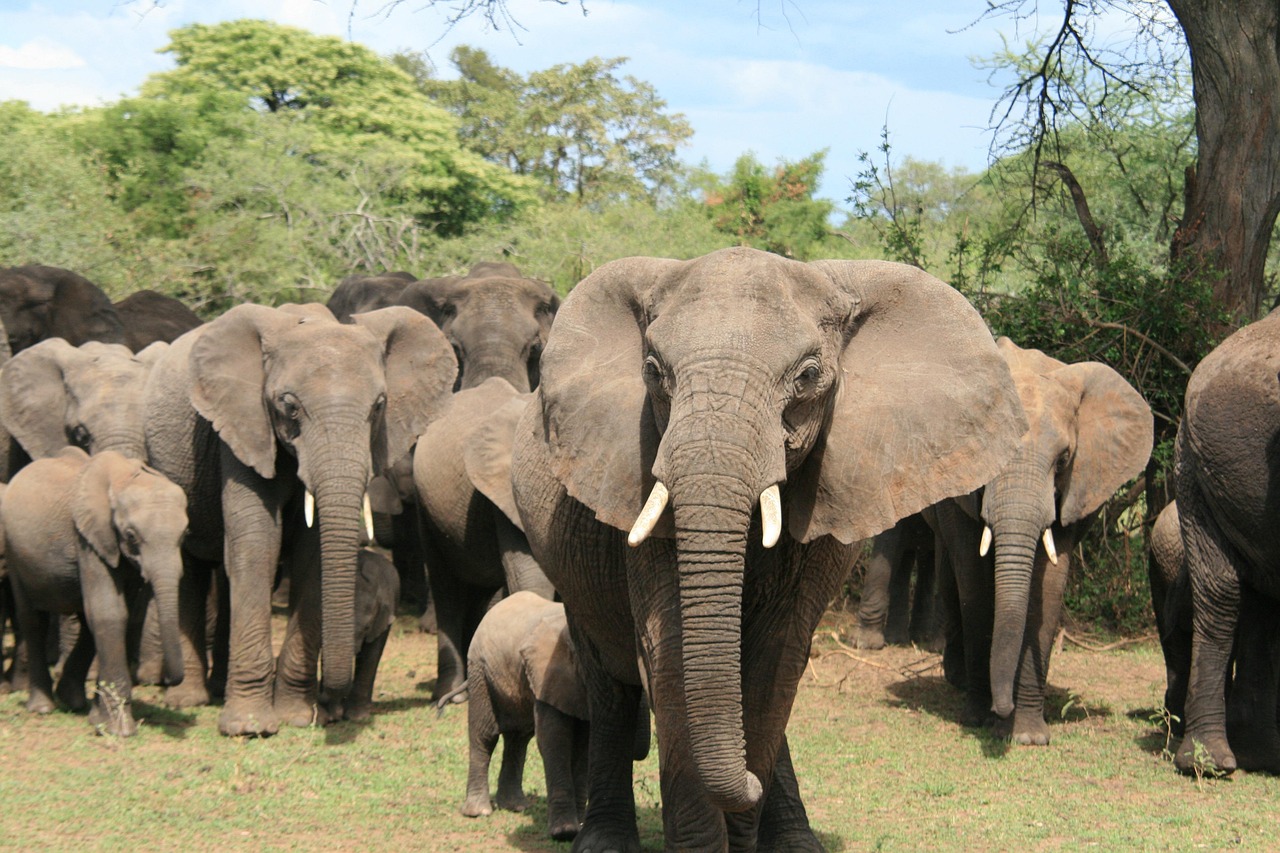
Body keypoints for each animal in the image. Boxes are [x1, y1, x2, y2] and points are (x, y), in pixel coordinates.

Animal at [2, 448, 186, 736]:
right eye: (131, 535)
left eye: (185, 534)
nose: (166, 679)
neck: (124, 479)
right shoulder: (89, 537)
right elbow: (109, 612)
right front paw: (119, 731)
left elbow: (119, 613)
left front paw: (98, 719)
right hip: (14, 553)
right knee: (32, 619)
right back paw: (43, 707)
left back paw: (73, 700)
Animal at [274, 543, 399, 724]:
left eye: (366, 628)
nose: (320, 697)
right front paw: (334, 715)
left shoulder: (386, 611)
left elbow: (371, 654)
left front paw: (357, 717)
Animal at [453, 590, 595, 842]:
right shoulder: (546, 673)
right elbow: (553, 739)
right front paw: (564, 832)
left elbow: (582, 746)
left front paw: (578, 827)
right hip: (480, 671)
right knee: (485, 736)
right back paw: (478, 812)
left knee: (518, 738)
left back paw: (516, 807)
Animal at [930, 337, 1153, 745]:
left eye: (1064, 458)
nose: (1002, 710)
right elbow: (975, 584)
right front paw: (980, 718)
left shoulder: (1072, 491)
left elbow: (1047, 590)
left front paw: (1027, 736)